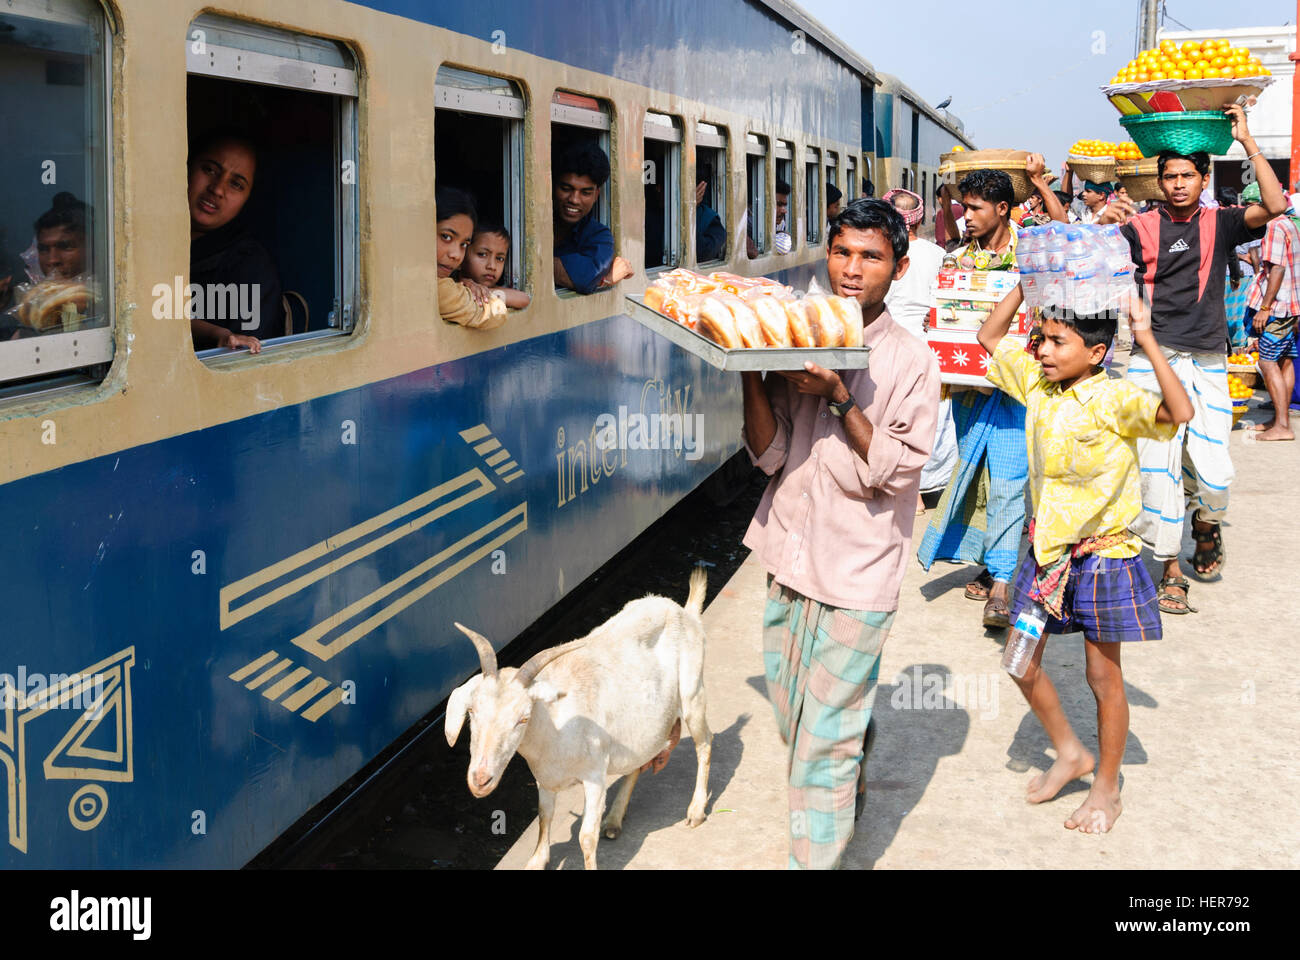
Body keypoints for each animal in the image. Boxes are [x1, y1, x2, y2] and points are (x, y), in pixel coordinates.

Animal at [444, 564, 712, 868]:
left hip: (693, 695)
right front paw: (537, 860)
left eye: (523, 718)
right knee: (637, 762)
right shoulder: (543, 778)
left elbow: (586, 837)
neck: (555, 728)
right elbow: (544, 815)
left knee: (704, 742)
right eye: (471, 711)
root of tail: (685, 611)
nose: (480, 780)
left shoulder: (594, 776)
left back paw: (695, 811)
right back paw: (614, 820)